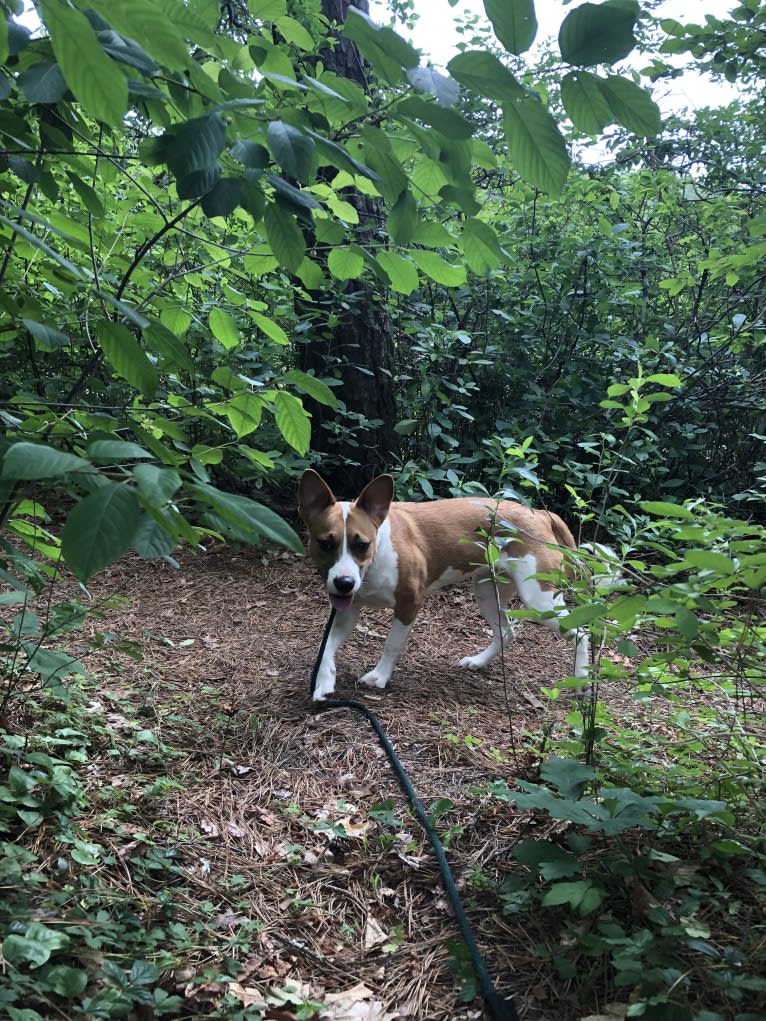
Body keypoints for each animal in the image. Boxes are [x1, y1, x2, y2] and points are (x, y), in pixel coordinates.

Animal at [296, 467, 592, 702]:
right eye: (325, 544)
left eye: (362, 544)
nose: (344, 583)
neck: (378, 554)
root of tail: (539, 514)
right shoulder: (346, 609)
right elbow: (325, 647)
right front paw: (324, 682)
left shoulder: (409, 604)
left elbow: (392, 645)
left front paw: (380, 676)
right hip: (487, 591)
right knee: (506, 633)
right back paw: (478, 661)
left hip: (539, 600)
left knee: (581, 633)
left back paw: (582, 681)